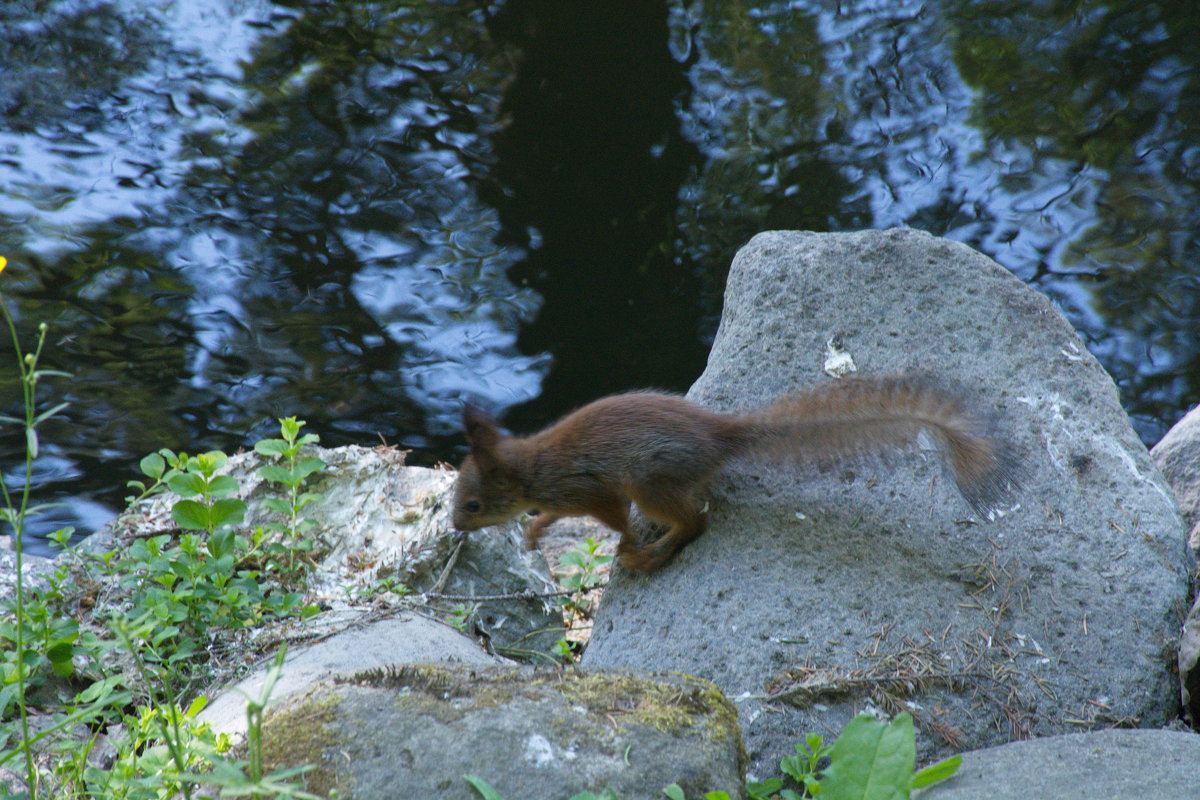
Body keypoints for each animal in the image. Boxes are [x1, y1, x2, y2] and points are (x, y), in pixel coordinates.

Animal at [448, 376, 1012, 573]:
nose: (455, 527)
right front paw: (534, 531)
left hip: (648, 480)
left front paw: (621, 544)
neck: (530, 467)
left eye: (473, 504)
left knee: (696, 523)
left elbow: (613, 518)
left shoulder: (586, 489)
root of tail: (720, 436)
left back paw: (651, 555)